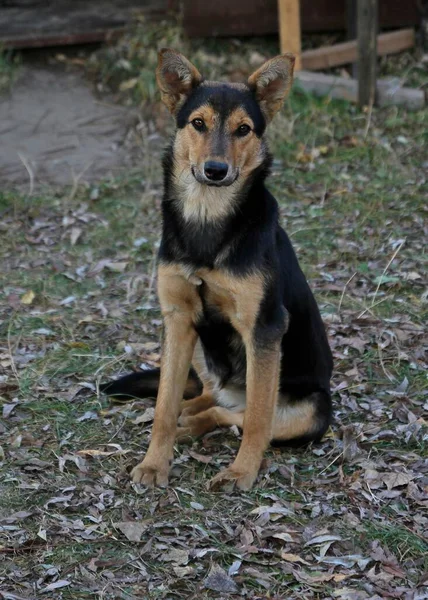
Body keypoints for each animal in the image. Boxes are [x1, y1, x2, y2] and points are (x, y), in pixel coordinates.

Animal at [101, 45, 334, 488]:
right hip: (197, 346)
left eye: (244, 130)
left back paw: (198, 424)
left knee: (238, 413)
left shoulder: (264, 328)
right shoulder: (178, 317)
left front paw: (242, 471)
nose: (215, 170)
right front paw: (154, 463)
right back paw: (187, 417)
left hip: (312, 412)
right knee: (208, 397)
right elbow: (164, 404)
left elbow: (258, 418)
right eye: (198, 123)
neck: (207, 219)